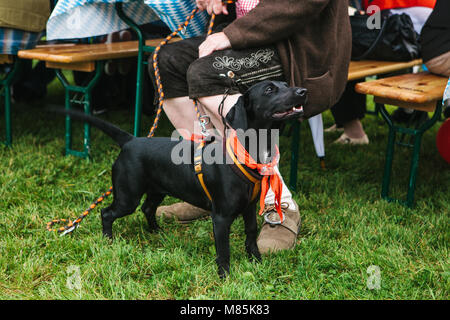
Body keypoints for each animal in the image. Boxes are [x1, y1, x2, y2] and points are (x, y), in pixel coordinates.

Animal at [58, 80, 306, 278]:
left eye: (285, 84)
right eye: (269, 89)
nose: (303, 91)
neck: (249, 153)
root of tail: (131, 140)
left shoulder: (249, 207)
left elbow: (251, 235)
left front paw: (256, 261)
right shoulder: (221, 218)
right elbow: (223, 250)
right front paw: (225, 276)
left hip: (156, 190)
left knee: (147, 208)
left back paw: (156, 231)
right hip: (127, 196)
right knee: (107, 213)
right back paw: (108, 240)